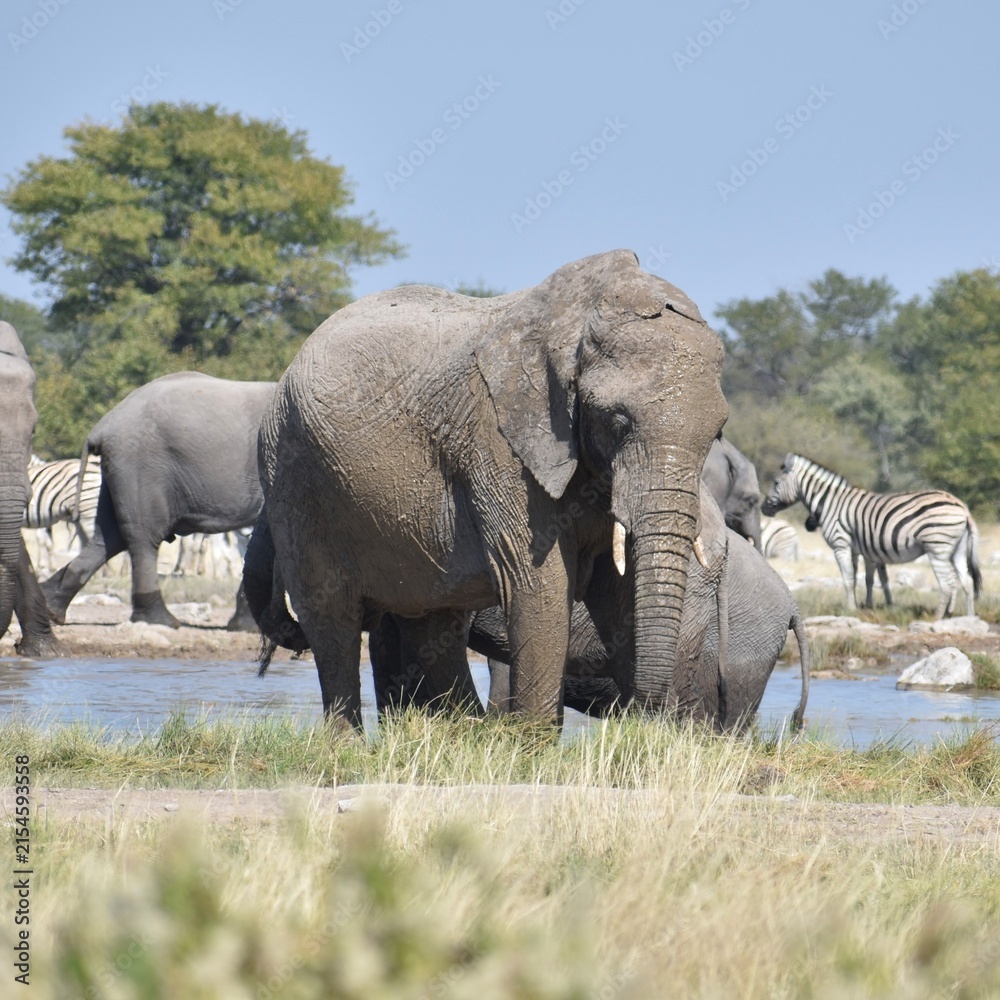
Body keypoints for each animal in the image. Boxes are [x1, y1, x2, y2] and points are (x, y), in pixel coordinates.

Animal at [41, 372, 276, 629]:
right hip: (141, 467)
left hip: (121, 470)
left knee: (108, 538)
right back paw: (161, 621)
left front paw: (245, 627)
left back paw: (51, 609)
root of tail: (102, 427)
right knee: (143, 536)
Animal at [245, 250, 728, 728]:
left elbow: (619, 591)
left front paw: (651, 736)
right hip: (295, 477)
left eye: (719, 432)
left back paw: (462, 731)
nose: (638, 711)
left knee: (433, 619)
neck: (571, 324)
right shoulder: (499, 443)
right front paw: (533, 742)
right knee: (332, 618)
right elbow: (538, 582)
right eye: (616, 420)